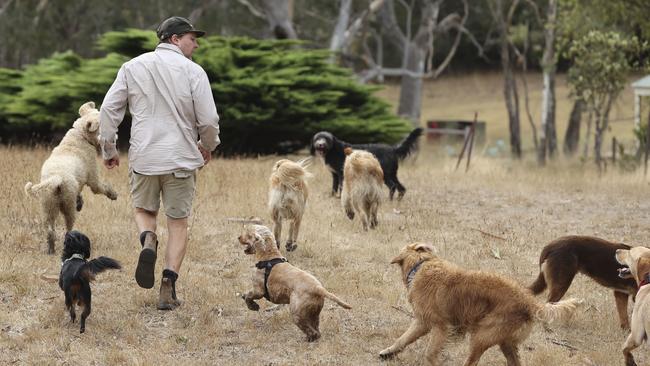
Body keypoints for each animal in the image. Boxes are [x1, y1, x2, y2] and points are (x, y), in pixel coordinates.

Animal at [25, 101, 117, 253]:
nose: (115, 136)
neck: (81, 136)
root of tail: (56, 178)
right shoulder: (93, 179)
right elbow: (102, 187)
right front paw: (113, 194)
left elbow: (80, 192)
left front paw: (80, 202)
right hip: (67, 205)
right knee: (68, 227)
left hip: (47, 206)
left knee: (50, 231)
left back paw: (51, 250)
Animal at [378, 243, 580, 366]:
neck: (421, 266)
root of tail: (528, 301)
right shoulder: (422, 322)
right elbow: (402, 339)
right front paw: (388, 352)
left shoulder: (439, 326)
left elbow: (430, 353)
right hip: (505, 342)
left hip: (480, 337)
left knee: (472, 362)